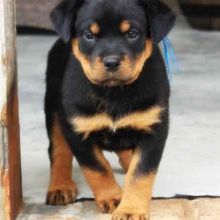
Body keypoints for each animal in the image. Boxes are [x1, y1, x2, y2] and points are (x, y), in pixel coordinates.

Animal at [44, 0, 175, 217]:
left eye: (132, 33)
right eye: (89, 34)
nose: (112, 62)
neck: (113, 92)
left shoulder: (153, 129)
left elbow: (140, 174)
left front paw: (131, 210)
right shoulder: (77, 131)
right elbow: (98, 168)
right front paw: (113, 197)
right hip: (54, 108)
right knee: (59, 150)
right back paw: (60, 186)